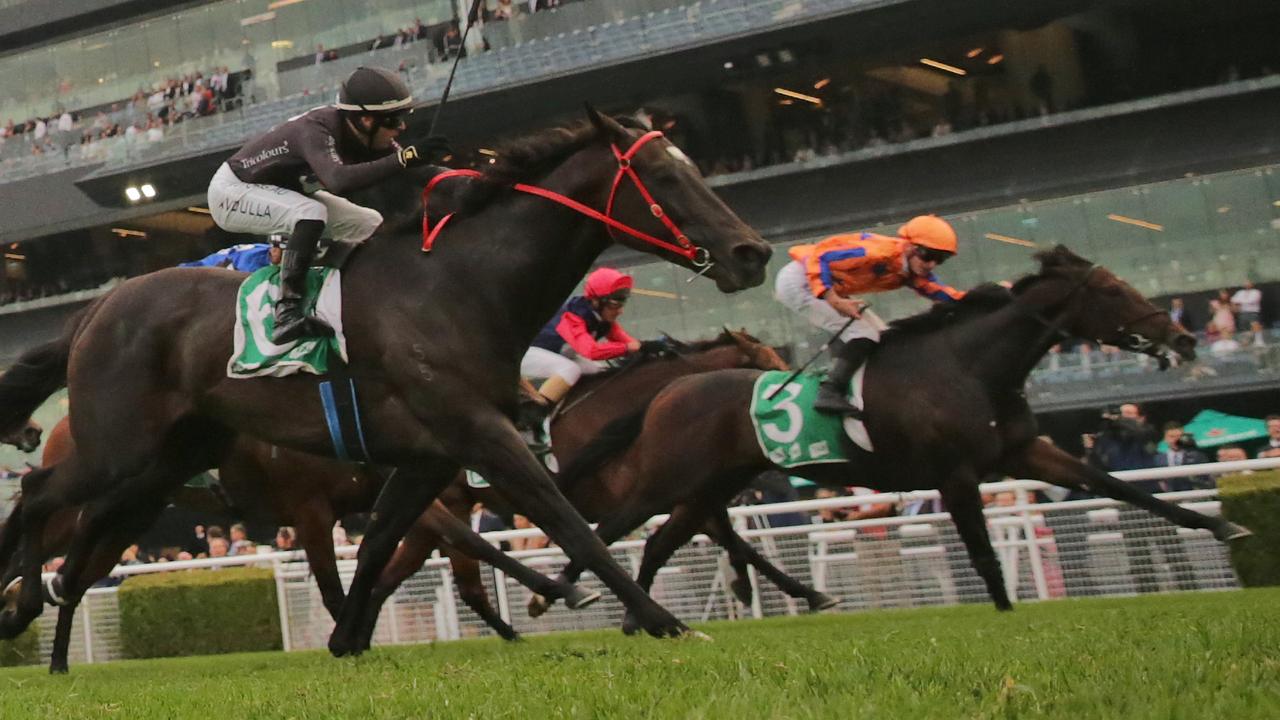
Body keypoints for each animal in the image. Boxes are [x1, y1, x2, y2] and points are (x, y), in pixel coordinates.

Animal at [0, 107, 768, 655]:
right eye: (664, 179)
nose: (752, 253)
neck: (458, 285)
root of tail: (96, 307)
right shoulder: (477, 435)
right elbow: (569, 520)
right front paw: (660, 619)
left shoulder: (428, 457)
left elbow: (380, 543)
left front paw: (349, 636)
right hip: (119, 448)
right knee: (37, 494)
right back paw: (23, 602)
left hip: (164, 462)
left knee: (74, 535)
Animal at [366, 330, 834, 617]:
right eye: (768, 363)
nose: (806, 395)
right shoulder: (629, 495)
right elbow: (611, 537)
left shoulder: (672, 487)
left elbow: (729, 533)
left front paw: (802, 592)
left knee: (399, 573)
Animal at [542, 248, 1249, 622]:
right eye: (1111, 291)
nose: (1183, 337)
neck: (968, 367)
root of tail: (666, 394)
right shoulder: (955, 474)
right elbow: (982, 551)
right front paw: (1005, 616)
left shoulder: (1025, 451)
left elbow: (1120, 487)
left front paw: (1224, 525)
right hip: (665, 481)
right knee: (613, 530)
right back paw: (566, 597)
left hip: (712, 485)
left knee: (662, 541)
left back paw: (637, 620)